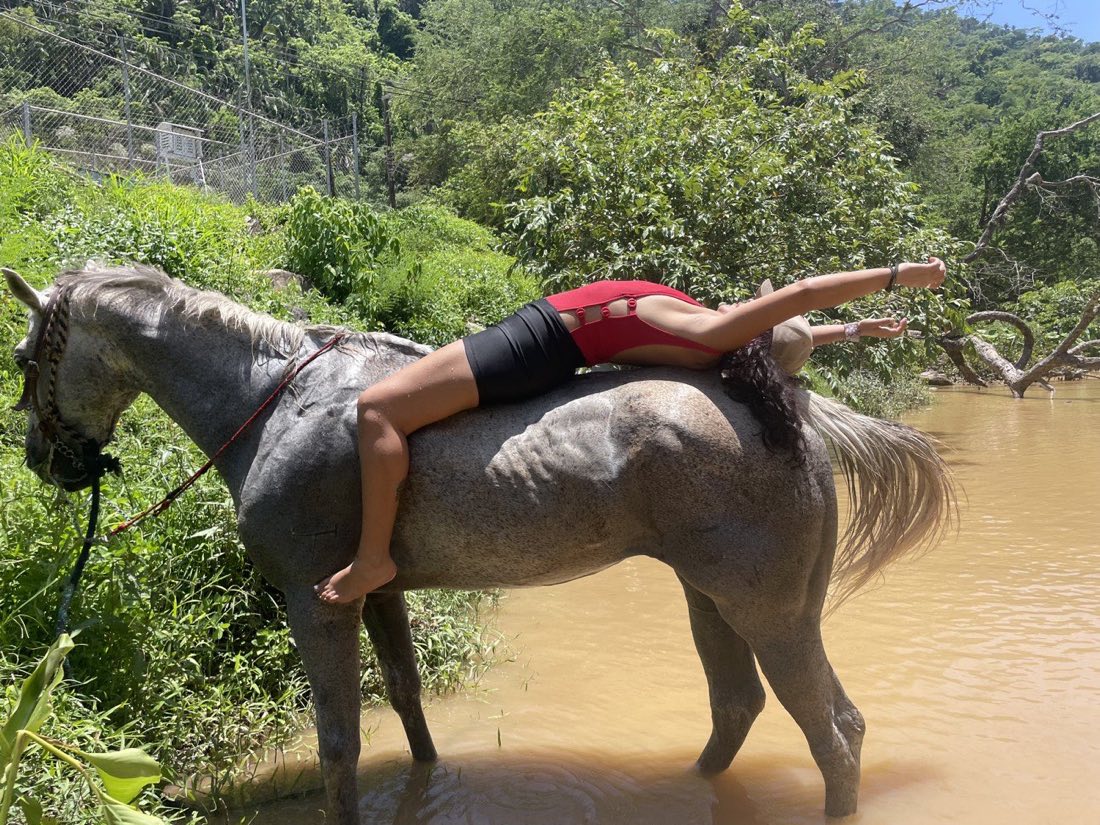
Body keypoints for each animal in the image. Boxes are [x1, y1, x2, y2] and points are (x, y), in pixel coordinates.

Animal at [4, 264, 954, 821]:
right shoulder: (376, 590)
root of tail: (792, 406)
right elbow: (405, 697)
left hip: (771, 608)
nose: (45, 463)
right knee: (740, 707)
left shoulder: (314, 601)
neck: (278, 401)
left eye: (20, 357)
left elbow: (339, 741)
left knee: (833, 730)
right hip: (712, 596)